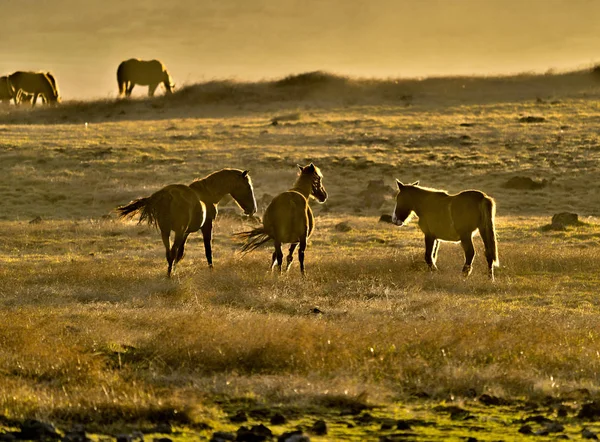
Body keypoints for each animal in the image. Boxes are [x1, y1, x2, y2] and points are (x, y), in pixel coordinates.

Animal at [116, 169, 255, 276]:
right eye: (248, 187)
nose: (253, 209)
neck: (207, 193)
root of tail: (166, 195)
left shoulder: (186, 232)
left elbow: (180, 252)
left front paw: (176, 269)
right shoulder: (206, 226)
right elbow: (208, 249)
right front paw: (211, 270)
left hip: (166, 231)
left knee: (169, 253)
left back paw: (169, 273)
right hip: (177, 230)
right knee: (172, 252)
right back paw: (169, 276)